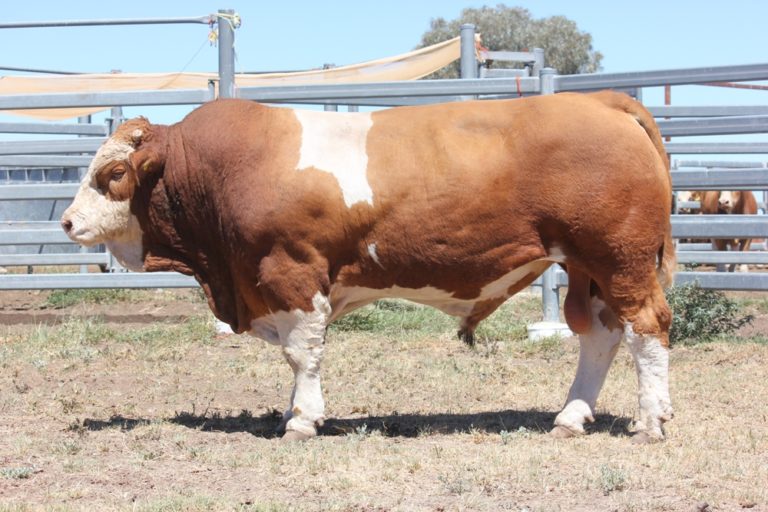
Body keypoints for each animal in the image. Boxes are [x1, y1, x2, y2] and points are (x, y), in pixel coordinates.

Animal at [60, 93, 676, 444]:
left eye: (114, 173)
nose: (67, 222)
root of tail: (603, 100)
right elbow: (299, 356)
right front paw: (293, 412)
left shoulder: (291, 271)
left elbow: (301, 352)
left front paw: (302, 420)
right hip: (588, 270)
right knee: (600, 336)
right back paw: (572, 417)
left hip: (620, 260)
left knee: (646, 331)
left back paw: (650, 421)